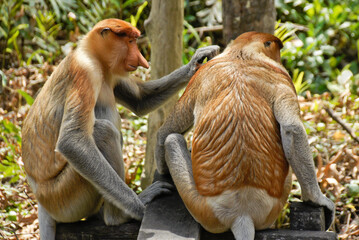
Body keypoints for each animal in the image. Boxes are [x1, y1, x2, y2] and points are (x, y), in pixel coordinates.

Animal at [22, 17, 221, 239]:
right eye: (130, 41)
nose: (142, 60)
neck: (94, 55)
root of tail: (41, 199)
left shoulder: (113, 74)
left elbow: (140, 101)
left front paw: (198, 61)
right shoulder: (85, 71)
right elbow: (71, 141)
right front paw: (139, 206)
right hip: (63, 197)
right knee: (103, 131)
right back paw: (117, 216)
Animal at [156, 31, 336, 240]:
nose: (280, 57)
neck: (242, 54)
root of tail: (242, 214)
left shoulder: (200, 77)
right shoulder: (284, 79)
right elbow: (292, 128)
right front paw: (318, 199)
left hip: (202, 206)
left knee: (171, 138)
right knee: (172, 139)